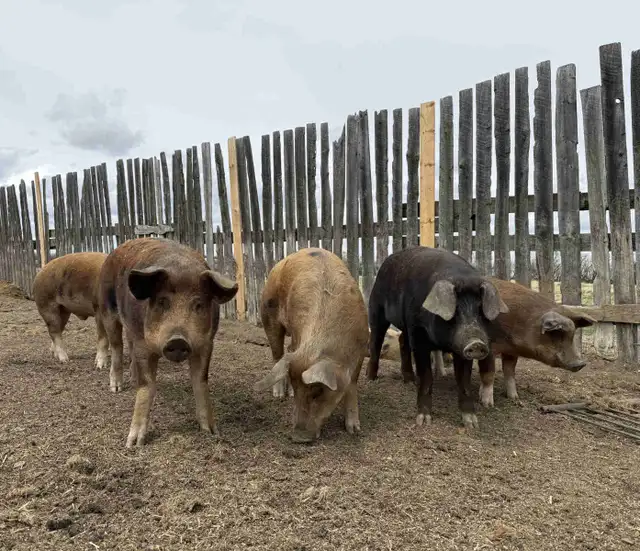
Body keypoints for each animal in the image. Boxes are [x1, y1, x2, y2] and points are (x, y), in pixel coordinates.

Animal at [98, 237, 238, 448]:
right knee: (117, 347)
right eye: (162, 302)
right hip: (109, 310)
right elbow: (147, 386)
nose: (178, 340)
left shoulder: (206, 343)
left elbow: (200, 381)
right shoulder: (143, 343)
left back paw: (131, 378)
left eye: (198, 304)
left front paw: (212, 432)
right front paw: (133, 444)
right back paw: (116, 388)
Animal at [253, 247, 369, 443]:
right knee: (277, 354)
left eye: (318, 391)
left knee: (288, 351)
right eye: (299, 389)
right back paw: (279, 395)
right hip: (267, 312)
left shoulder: (363, 346)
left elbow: (352, 385)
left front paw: (354, 430)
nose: (297, 437)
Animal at [367, 246, 509, 430]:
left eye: (480, 310)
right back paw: (371, 378)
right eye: (455, 311)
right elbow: (426, 376)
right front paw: (423, 421)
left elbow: (464, 381)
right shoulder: (418, 335)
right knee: (376, 340)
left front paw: (471, 424)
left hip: (405, 324)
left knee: (403, 341)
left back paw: (410, 381)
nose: (476, 343)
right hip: (376, 307)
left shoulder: (459, 348)